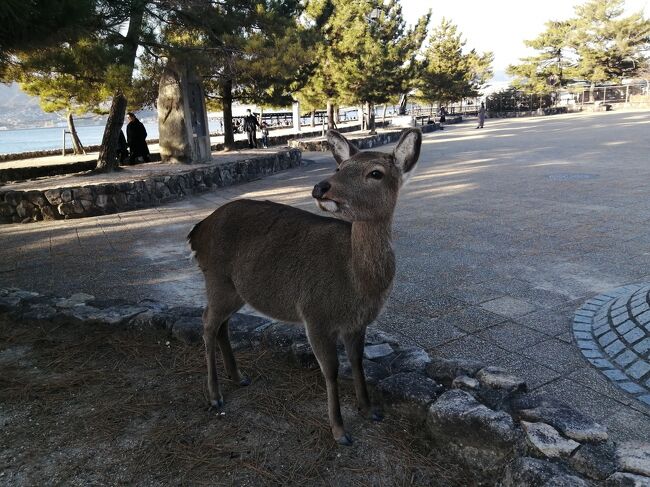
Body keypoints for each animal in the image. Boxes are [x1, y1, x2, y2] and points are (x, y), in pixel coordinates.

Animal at [187, 128, 422, 445]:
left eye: (376, 172)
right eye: (340, 167)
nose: (321, 187)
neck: (358, 285)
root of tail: (196, 232)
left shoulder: (357, 323)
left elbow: (357, 361)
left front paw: (369, 409)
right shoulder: (315, 315)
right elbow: (332, 370)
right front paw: (340, 431)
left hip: (234, 290)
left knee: (221, 324)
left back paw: (239, 376)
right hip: (217, 278)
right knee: (207, 323)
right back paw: (215, 396)